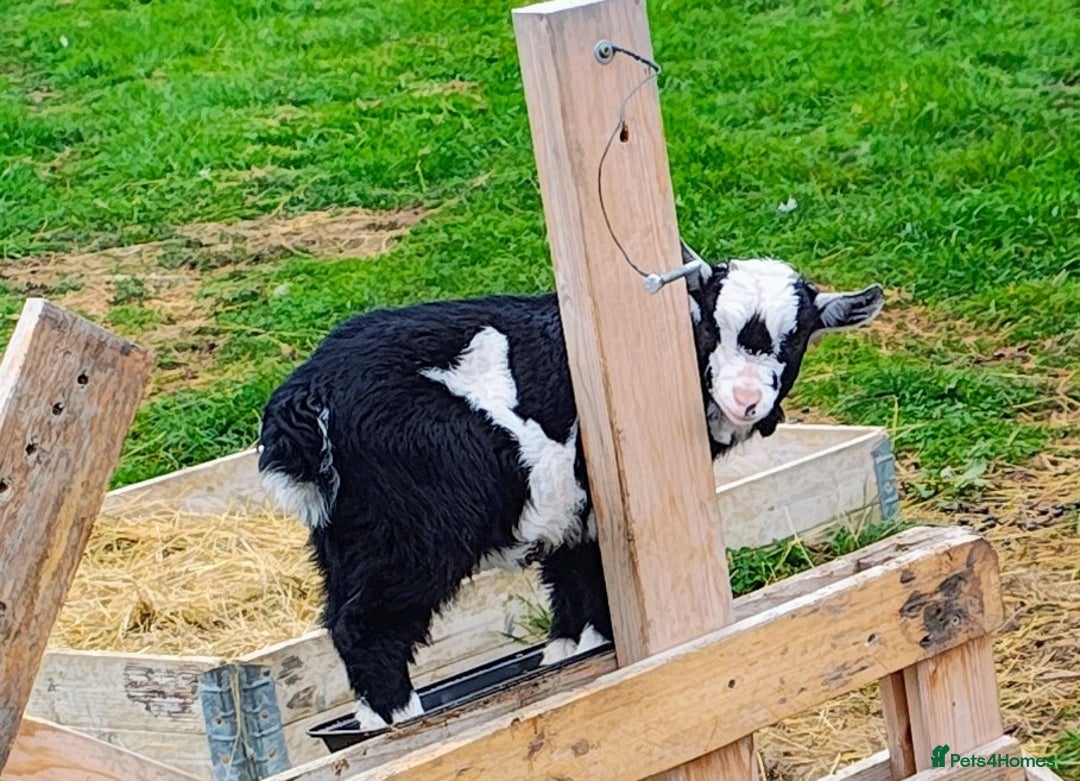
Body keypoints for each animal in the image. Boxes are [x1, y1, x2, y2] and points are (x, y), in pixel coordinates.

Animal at [257, 243, 884, 730]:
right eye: (711, 325)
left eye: (795, 338)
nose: (746, 400)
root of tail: (308, 396)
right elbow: (596, 602)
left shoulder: (572, 518)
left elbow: (573, 611)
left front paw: (566, 662)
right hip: (417, 529)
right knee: (369, 626)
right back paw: (402, 723)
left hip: (346, 533)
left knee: (342, 616)